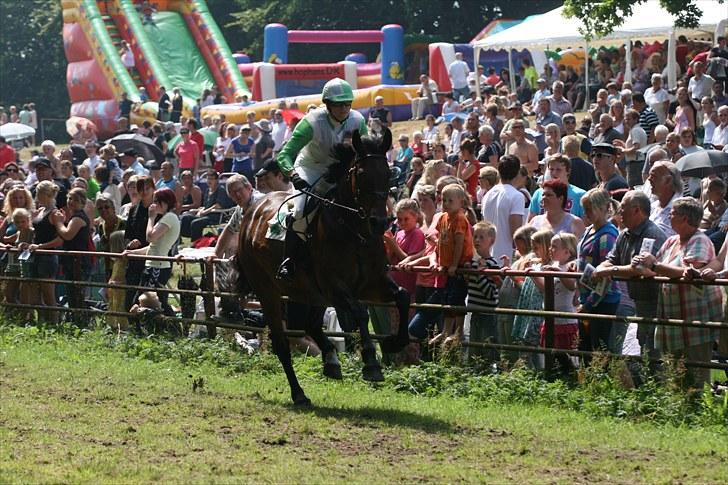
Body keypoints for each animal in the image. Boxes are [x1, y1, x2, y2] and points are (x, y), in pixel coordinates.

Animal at [237, 129, 410, 404]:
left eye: (388, 173)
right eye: (362, 174)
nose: (380, 222)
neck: (355, 232)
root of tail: (251, 212)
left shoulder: (372, 283)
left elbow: (403, 297)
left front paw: (395, 342)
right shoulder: (335, 287)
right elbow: (360, 312)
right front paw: (371, 362)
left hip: (310, 294)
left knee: (310, 325)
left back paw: (330, 360)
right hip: (269, 291)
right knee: (282, 343)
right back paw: (299, 393)